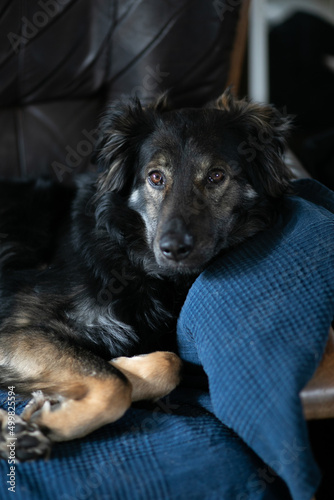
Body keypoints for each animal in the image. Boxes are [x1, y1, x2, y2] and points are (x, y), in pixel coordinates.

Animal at [0, 89, 290, 460]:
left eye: (216, 176)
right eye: (155, 177)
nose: (174, 248)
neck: (131, 259)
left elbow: (164, 364)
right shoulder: (16, 329)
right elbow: (114, 385)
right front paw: (51, 423)